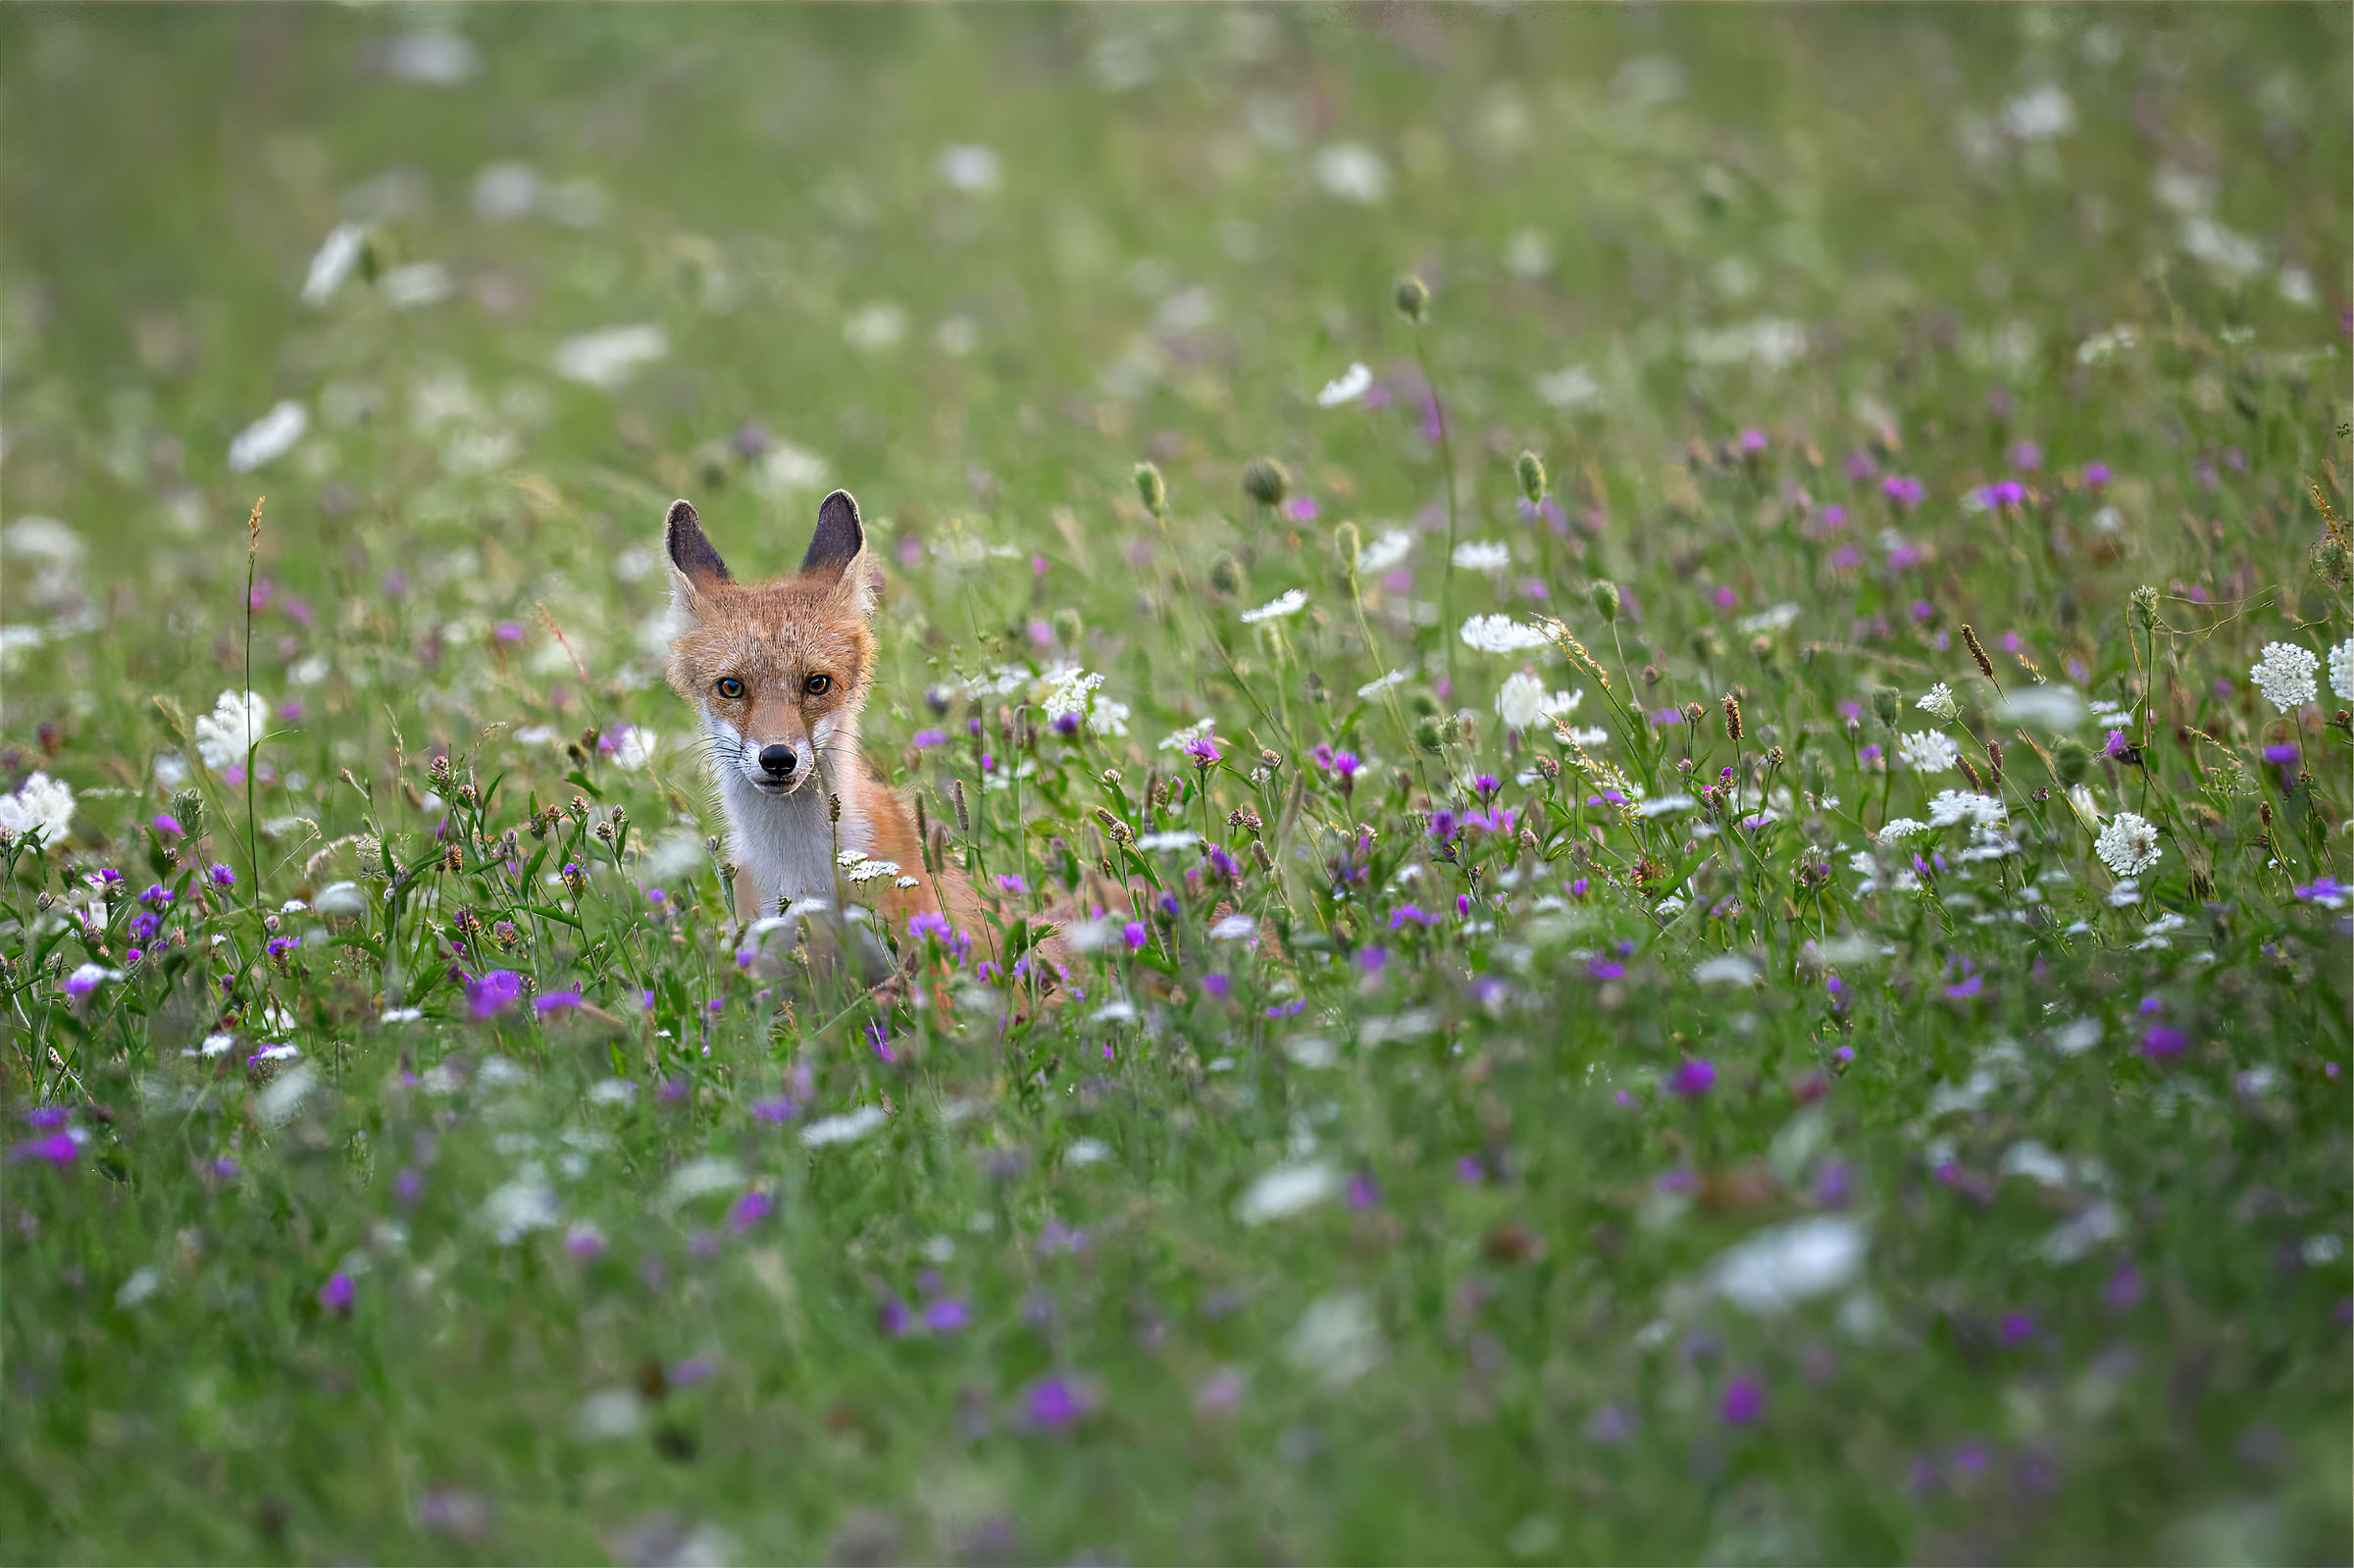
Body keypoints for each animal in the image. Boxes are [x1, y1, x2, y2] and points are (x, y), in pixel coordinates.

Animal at [659, 489, 1053, 988]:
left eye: (817, 684)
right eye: (731, 687)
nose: (777, 758)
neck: (801, 873)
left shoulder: (917, 964)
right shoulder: (776, 974)